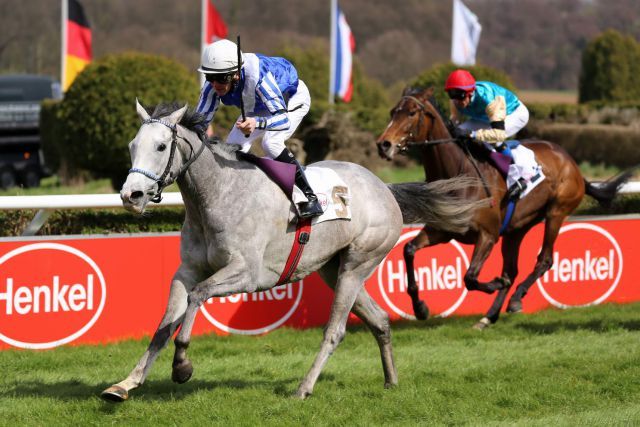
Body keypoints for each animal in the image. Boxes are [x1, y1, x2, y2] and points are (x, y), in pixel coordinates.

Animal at [100, 99, 482, 402]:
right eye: (133, 145)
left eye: (161, 146)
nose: (131, 195)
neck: (218, 193)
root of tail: (383, 188)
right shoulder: (187, 270)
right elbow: (165, 324)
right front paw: (126, 384)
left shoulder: (247, 274)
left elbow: (197, 296)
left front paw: (182, 365)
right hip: (333, 269)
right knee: (380, 320)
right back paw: (391, 381)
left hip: (358, 263)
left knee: (335, 331)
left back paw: (304, 387)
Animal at [376, 86, 632, 328]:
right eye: (392, 112)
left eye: (411, 112)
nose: (383, 144)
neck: (459, 174)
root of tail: (573, 165)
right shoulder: (442, 230)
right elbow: (408, 250)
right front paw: (420, 308)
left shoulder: (487, 235)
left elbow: (470, 277)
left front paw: (495, 283)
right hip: (515, 230)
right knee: (512, 269)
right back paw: (488, 317)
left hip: (556, 212)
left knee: (544, 259)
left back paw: (516, 298)